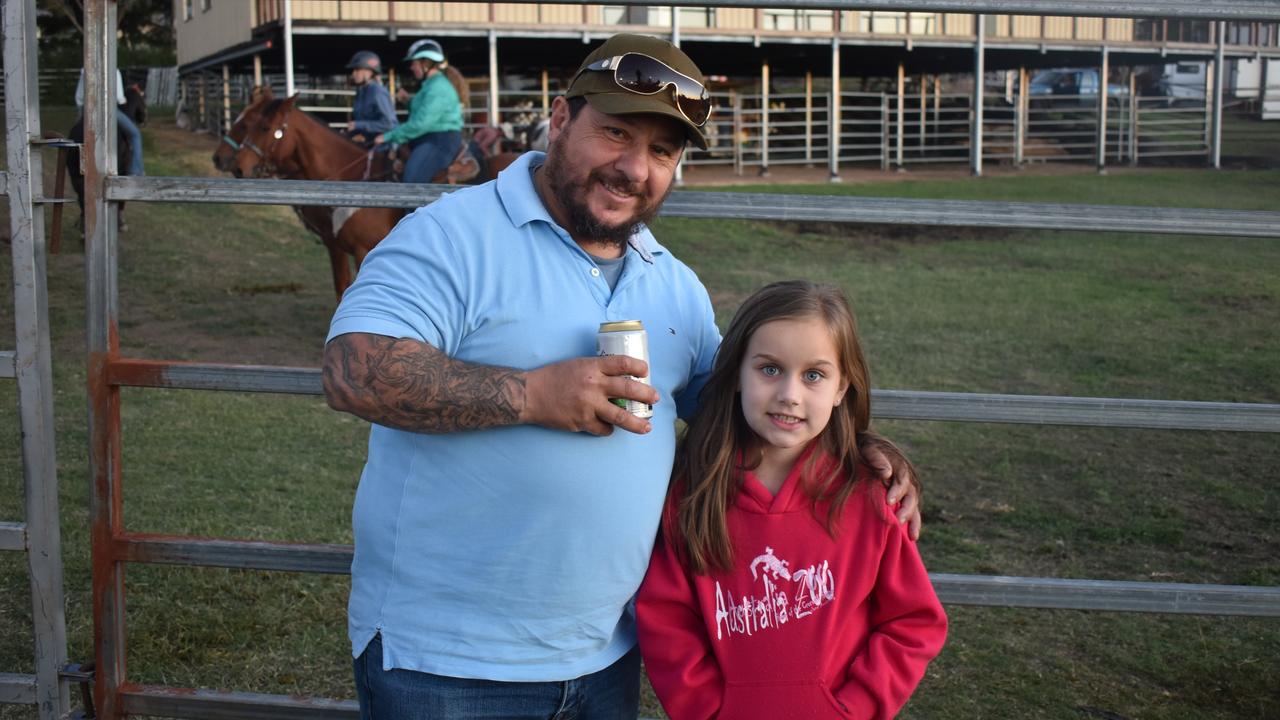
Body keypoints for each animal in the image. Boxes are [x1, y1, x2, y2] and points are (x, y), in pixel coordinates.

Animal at [230, 92, 519, 299]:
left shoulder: (363, 250)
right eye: (249, 125)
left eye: (265, 127)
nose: (238, 166)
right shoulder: (336, 247)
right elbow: (342, 289)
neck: (352, 177)